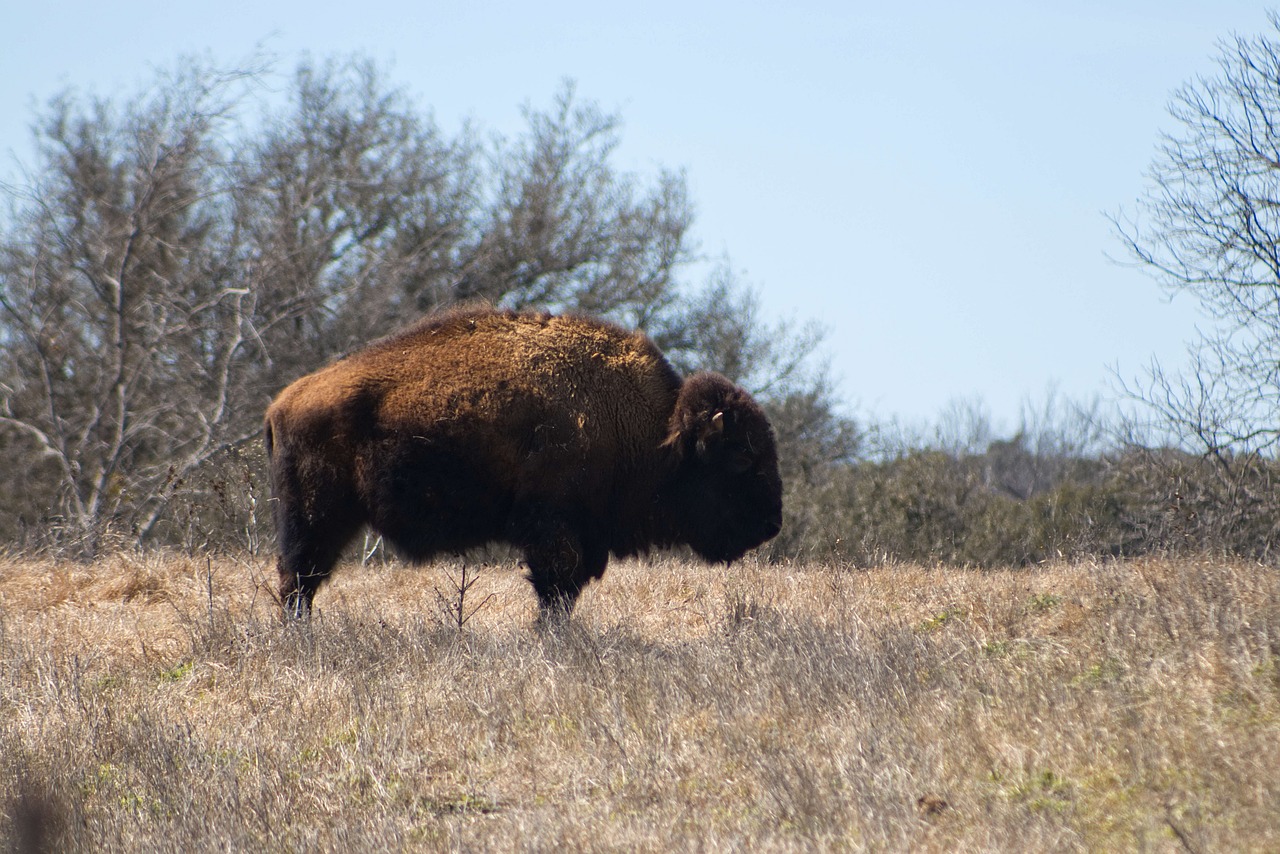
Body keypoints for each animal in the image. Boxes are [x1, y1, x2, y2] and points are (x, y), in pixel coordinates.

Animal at [262, 307, 778, 622]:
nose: (771, 525)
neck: (652, 428)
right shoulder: (553, 529)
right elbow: (556, 586)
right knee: (299, 576)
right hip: (315, 515)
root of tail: (282, 403)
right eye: (742, 455)